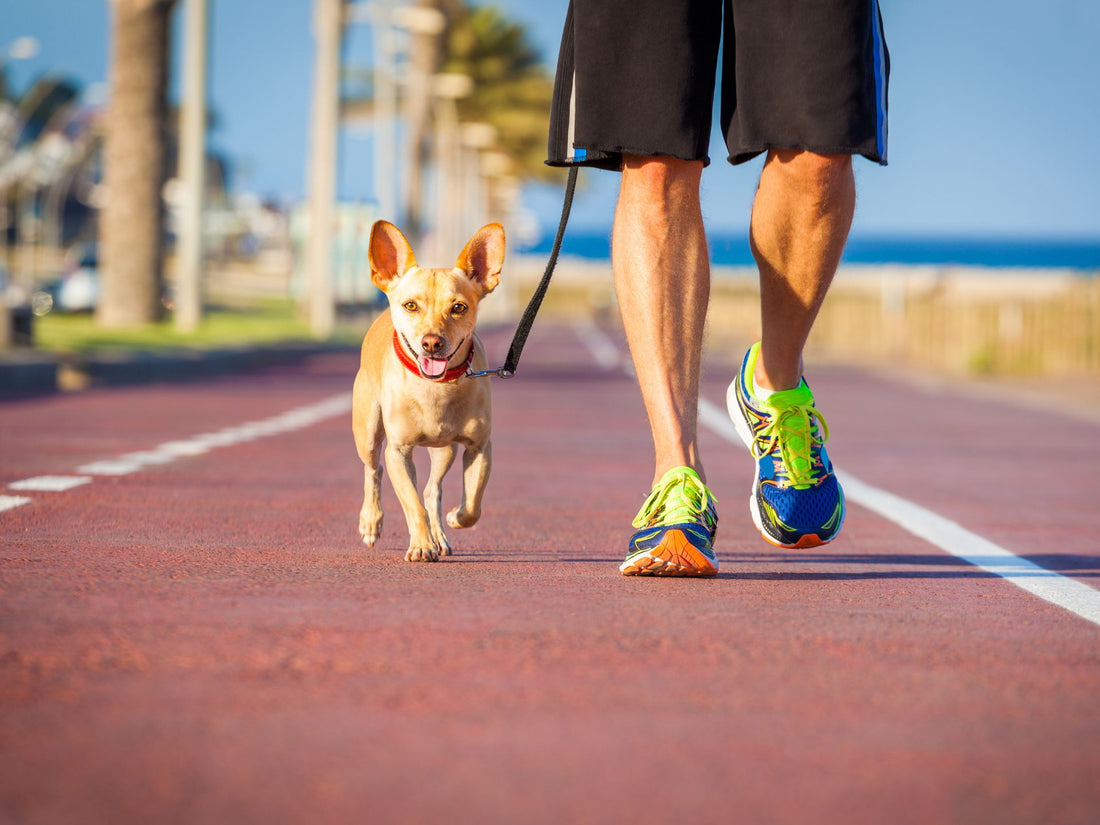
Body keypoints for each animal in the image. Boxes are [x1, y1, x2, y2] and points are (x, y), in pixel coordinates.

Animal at [354, 220, 503, 563]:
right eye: (411, 305)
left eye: (459, 307)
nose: (432, 342)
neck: (436, 389)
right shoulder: (398, 451)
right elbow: (412, 504)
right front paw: (421, 545)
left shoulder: (479, 447)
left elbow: (472, 504)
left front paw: (455, 518)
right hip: (367, 431)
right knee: (373, 470)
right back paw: (371, 522)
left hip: (444, 450)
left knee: (432, 489)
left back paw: (441, 536)